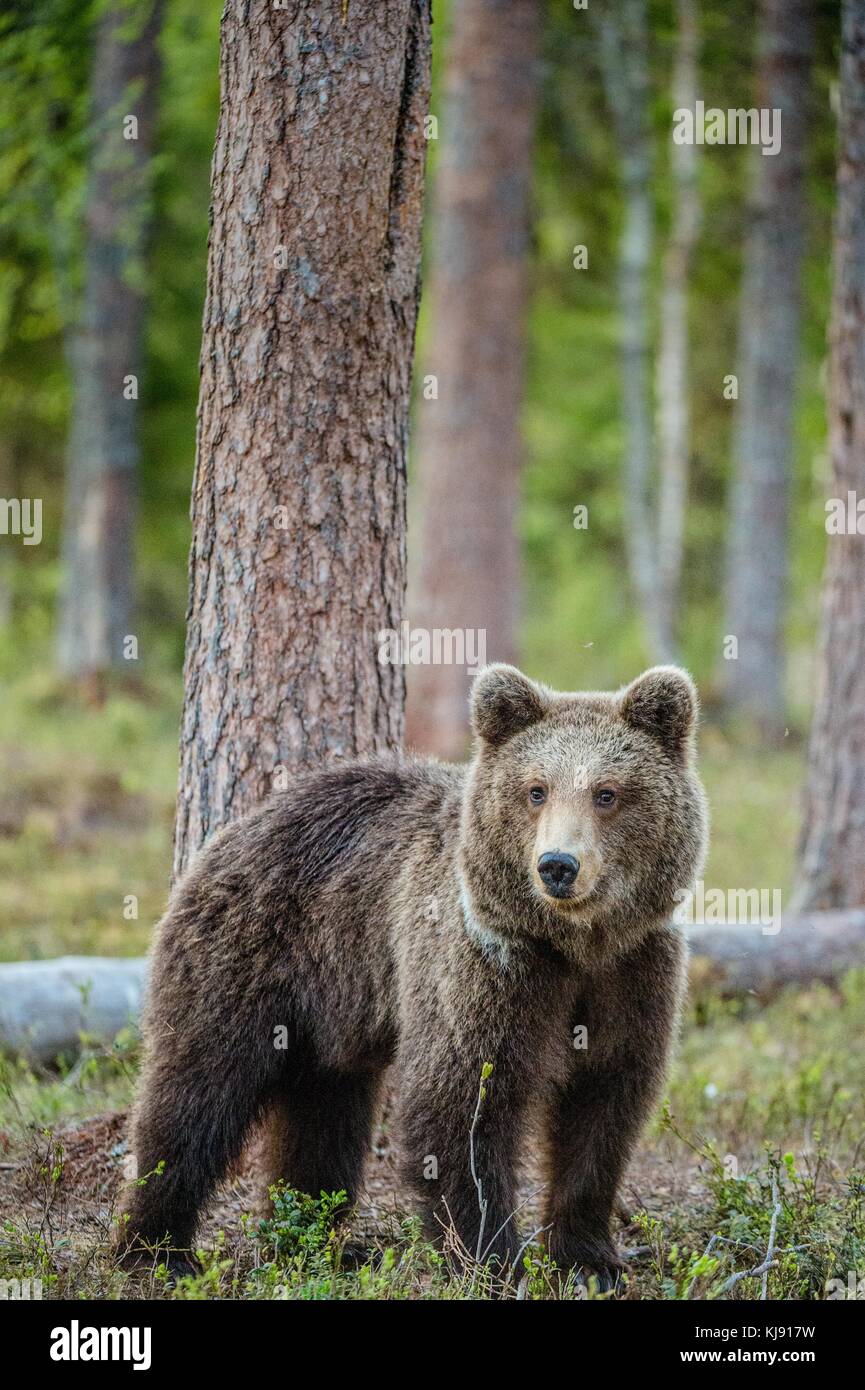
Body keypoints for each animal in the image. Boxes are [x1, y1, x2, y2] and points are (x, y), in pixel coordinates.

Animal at [117, 663, 707, 1285]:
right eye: (535, 789)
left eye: (606, 792)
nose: (557, 866)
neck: (572, 944)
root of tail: (236, 828)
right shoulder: (489, 967)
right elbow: (461, 1100)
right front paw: (491, 1257)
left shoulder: (631, 972)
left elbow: (605, 1102)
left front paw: (589, 1258)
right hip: (247, 957)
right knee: (196, 1092)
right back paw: (156, 1248)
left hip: (330, 1003)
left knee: (325, 1111)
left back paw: (313, 1239)